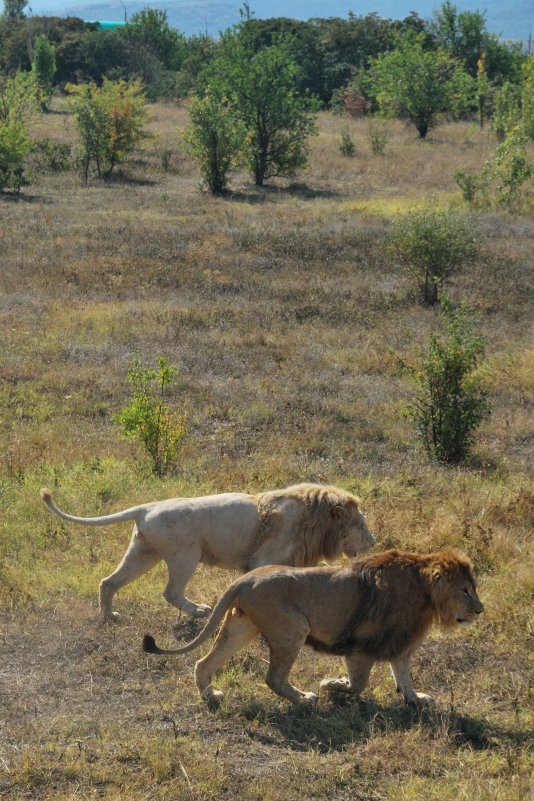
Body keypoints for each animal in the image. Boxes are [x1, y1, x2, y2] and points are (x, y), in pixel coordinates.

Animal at [40, 478, 376, 620]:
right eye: (361, 525)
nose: (373, 543)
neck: (315, 522)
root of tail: (146, 507)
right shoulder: (262, 559)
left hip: (143, 553)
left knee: (108, 582)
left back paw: (110, 616)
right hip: (185, 555)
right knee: (171, 592)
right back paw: (200, 610)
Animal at [143, 552, 486, 708]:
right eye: (465, 590)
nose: (481, 610)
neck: (425, 593)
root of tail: (243, 579)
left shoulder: (399, 644)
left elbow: (404, 677)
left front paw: (417, 699)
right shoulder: (361, 645)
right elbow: (358, 684)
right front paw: (331, 684)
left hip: (241, 626)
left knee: (204, 662)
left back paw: (210, 695)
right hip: (293, 627)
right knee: (273, 677)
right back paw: (305, 699)